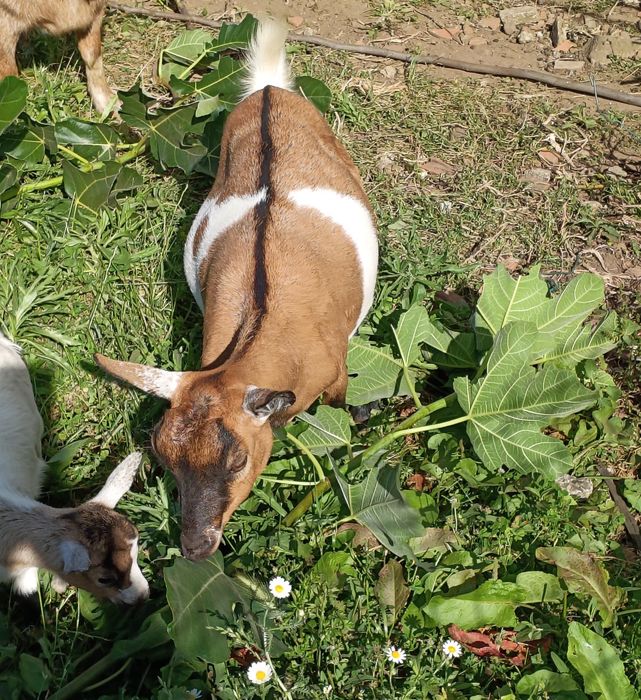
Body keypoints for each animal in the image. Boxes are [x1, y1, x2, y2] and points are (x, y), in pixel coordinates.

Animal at [95, 21, 379, 560]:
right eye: (164, 460)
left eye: (237, 461)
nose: (195, 546)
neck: (261, 326)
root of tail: (268, 89)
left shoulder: (333, 370)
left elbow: (338, 407)